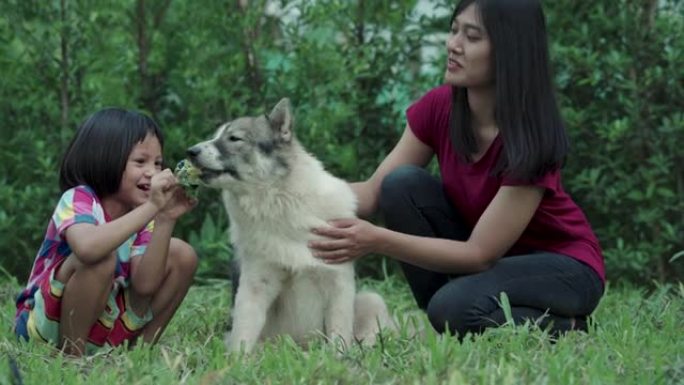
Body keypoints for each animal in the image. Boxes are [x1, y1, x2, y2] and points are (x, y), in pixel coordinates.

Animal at [187, 98, 392, 352]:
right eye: (215, 136)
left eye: (234, 138)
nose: (190, 152)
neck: (280, 202)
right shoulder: (255, 285)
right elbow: (243, 332)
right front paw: (237, 360)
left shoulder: (338, 283)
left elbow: (339, 334)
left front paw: (340, 358)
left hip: (372, 300)